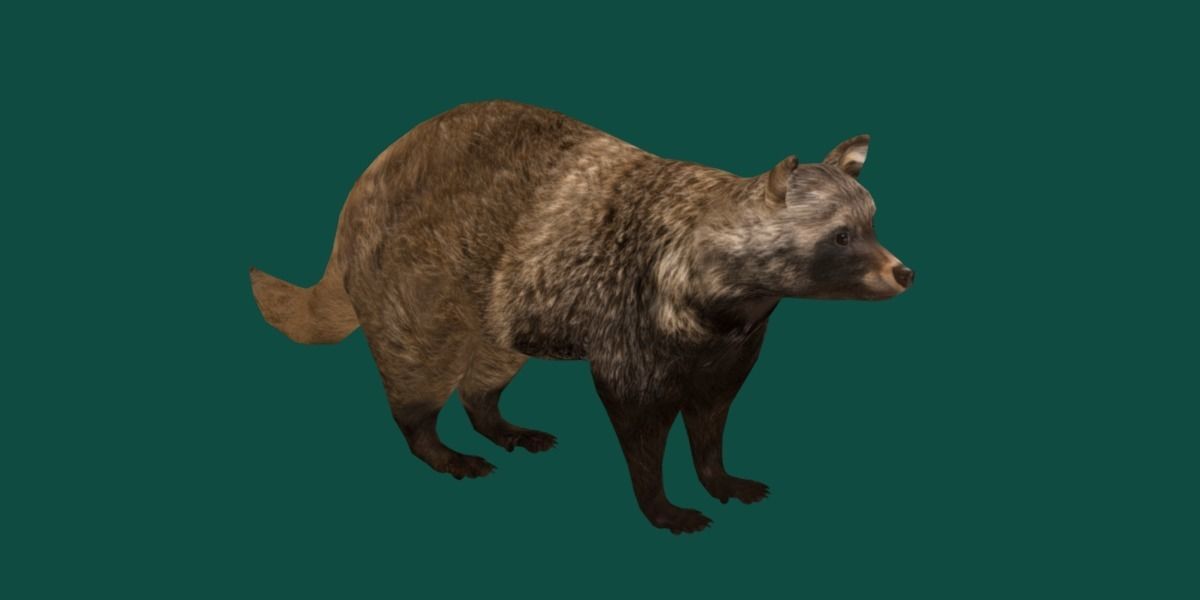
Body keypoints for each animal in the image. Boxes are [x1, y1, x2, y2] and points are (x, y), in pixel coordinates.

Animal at [250, 100, 913, 534]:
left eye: (872, 224)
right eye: (841, 236)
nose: (904, 272)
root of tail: (362, 189)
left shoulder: (733, 341)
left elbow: (713, 411)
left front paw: (716, 473)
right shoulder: (631, 309)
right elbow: (636, 414)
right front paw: (659, 501)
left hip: (503, 298)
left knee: (489, 365)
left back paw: (493, 418)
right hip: (417, 280)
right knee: (420, 369)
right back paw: (436, 444)